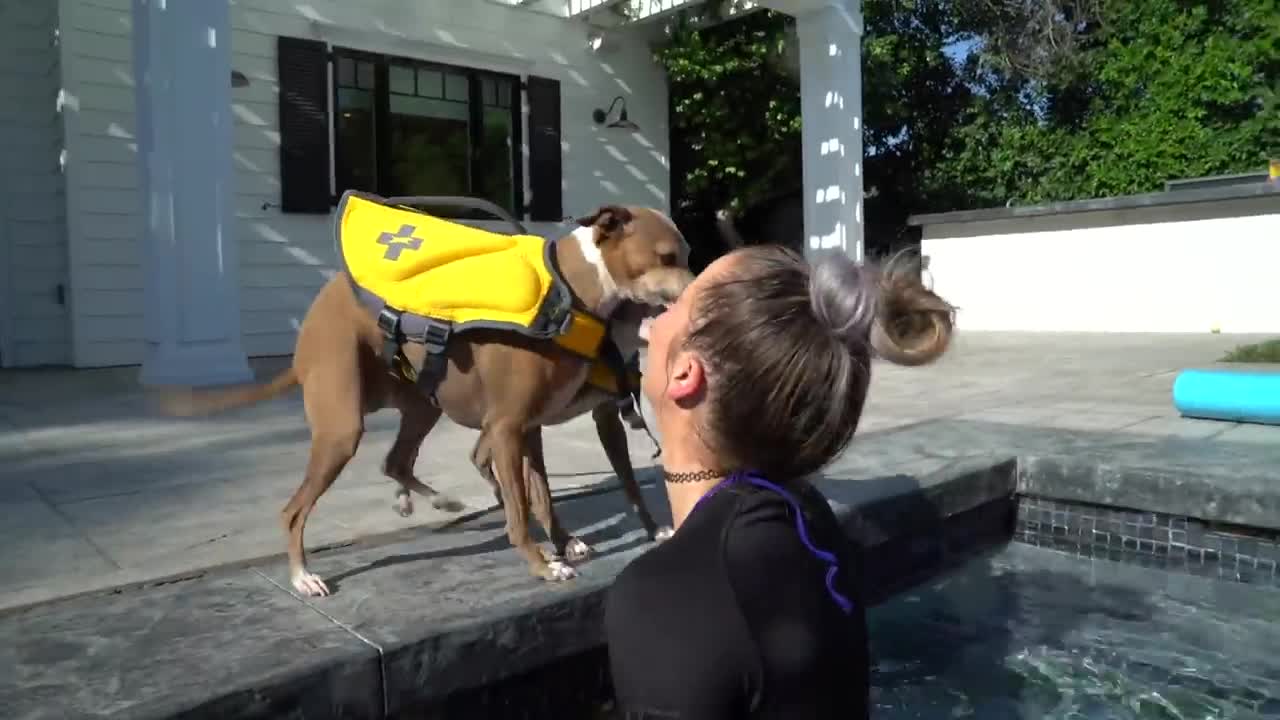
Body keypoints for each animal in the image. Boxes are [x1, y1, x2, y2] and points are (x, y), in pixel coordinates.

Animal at [168, 203, 696, 594]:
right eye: (667, 256)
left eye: (686, 254)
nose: (698, 290)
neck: (570, 294)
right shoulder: (509, 427)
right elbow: (522, 509)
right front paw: (544, 564)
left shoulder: (535, 427)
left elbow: (551, 494)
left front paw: (585, 541)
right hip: (342, 428)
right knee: (295, 509)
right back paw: (304, 577)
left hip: (422, 406)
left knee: (396, 461)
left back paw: (435, 501)